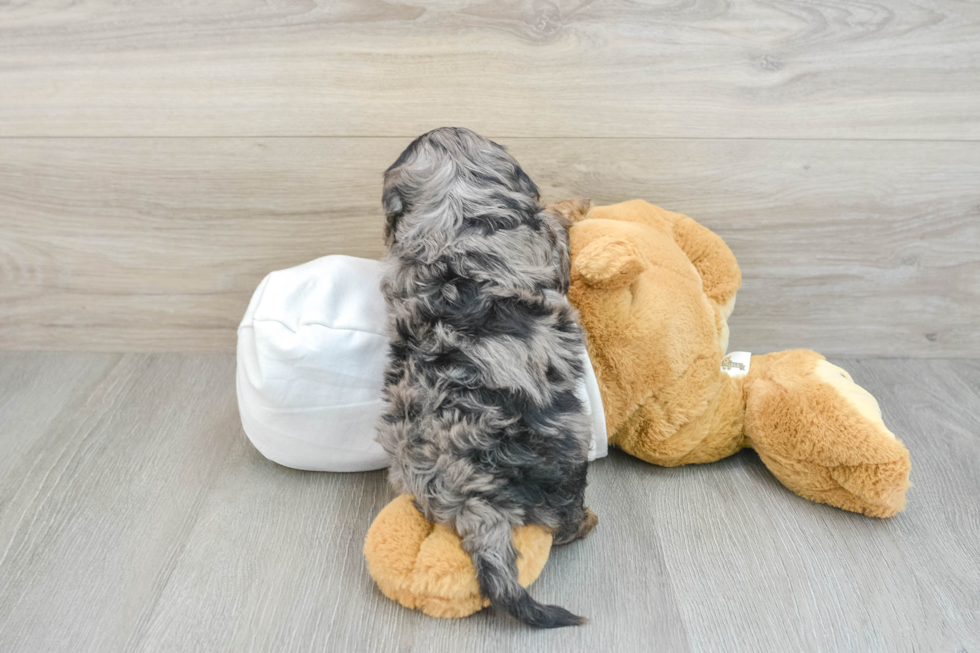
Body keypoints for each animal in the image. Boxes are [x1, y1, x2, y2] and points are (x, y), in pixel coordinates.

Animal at [374, 126, 592, 628]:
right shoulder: (548, 245)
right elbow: (556, 222)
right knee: (563, 519)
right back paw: (586, 521)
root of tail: (469, 492)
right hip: (567, 447)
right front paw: (575, 203)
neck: (454, 212)